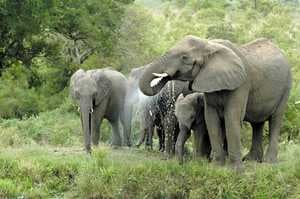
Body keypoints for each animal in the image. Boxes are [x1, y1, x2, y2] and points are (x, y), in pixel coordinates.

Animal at [139, 35, 292, 169]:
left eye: (184, 57)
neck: (209, 45)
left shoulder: (242, 84)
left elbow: (232, 117)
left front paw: (235, 170)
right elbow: (211, 118)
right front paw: (217, 166)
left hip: (286, 87)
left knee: (275, 120)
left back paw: (269, 162)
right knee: (257, 124)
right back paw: (252, 160)